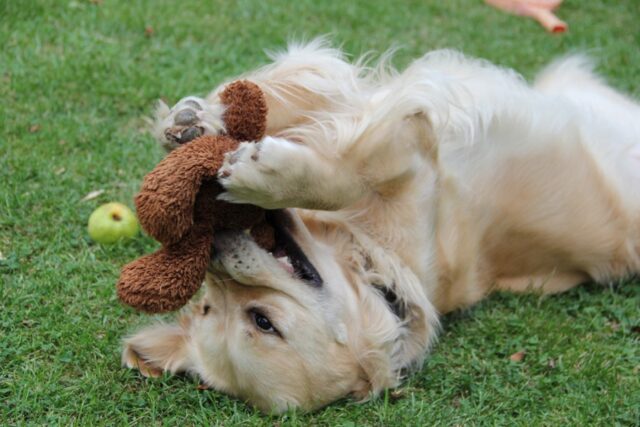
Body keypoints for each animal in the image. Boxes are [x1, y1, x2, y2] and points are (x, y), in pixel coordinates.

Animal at [121, 40, 640, 414]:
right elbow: (319, 128)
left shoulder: (404, 146)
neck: (370, 253)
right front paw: (221, 139)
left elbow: (316, 129)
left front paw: (226, 143)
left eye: (262, 321)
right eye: (210, 307)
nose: (214, 250)